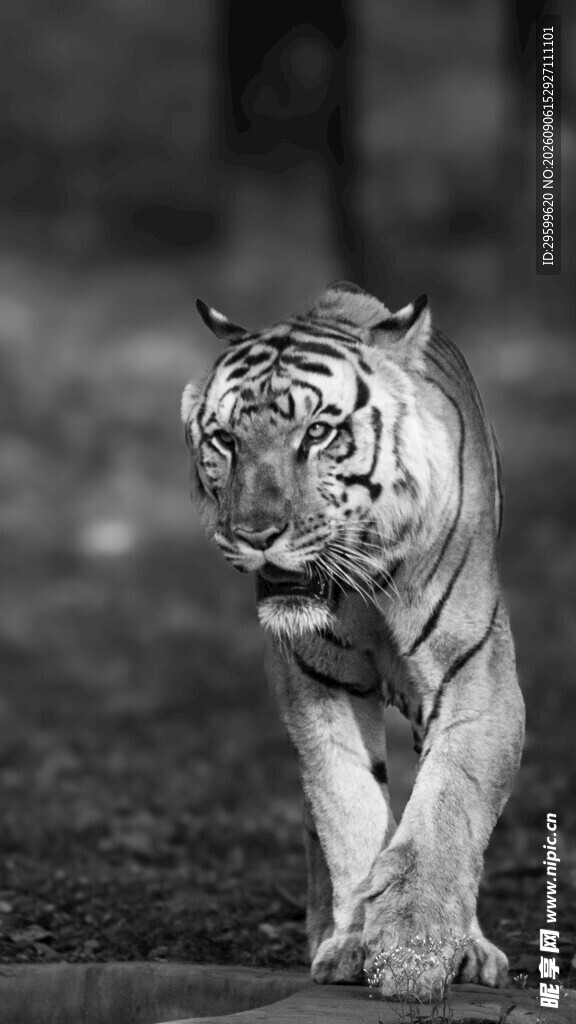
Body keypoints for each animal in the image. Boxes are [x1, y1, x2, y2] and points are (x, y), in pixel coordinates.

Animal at [181, 281, 525, 999]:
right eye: (224, 439)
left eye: (317, 432)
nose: (255, 533)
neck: (367, 582)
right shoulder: (317, 687)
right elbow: (348, 806)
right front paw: (355, 945)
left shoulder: (476, 685)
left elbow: (444, 811)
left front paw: (416, 947)